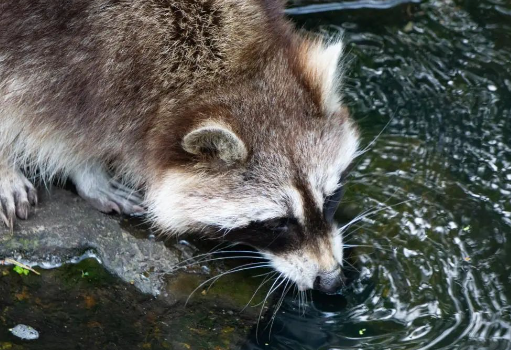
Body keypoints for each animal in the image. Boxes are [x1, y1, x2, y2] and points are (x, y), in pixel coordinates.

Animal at [0, 0, 360, 292]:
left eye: (331, 197)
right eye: (276, 223)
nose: (331, 281)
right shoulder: (67, 46)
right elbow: (52, 121)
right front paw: (86, 171)